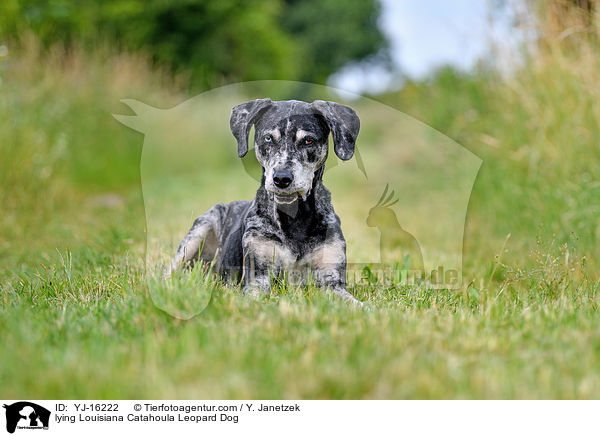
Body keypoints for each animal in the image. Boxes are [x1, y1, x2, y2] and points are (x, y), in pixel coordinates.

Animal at [166, 99, 358, 304]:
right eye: (268, 139)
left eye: (308, 140)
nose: (281, 178)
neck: (295, 217)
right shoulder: (258, 275)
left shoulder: (332, 280)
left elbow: (355, 303)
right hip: (198, 232)